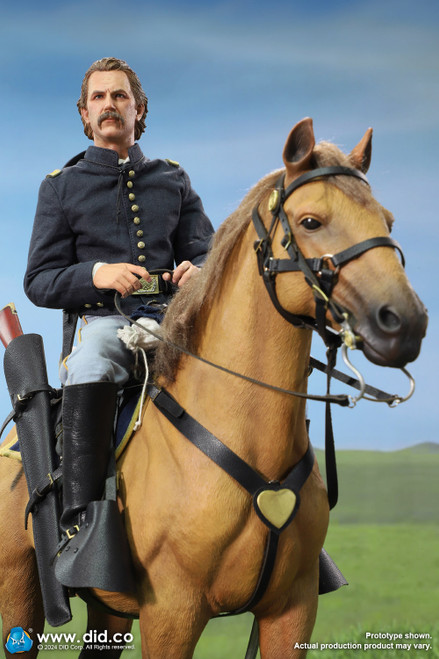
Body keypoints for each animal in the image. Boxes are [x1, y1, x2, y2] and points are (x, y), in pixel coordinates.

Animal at [0, 118, 427, 658]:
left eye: (386, 220)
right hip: (20, 591)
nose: (406, 321)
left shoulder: (293, 608)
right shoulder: (172, 613)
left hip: (110, 609)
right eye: (311, 221)